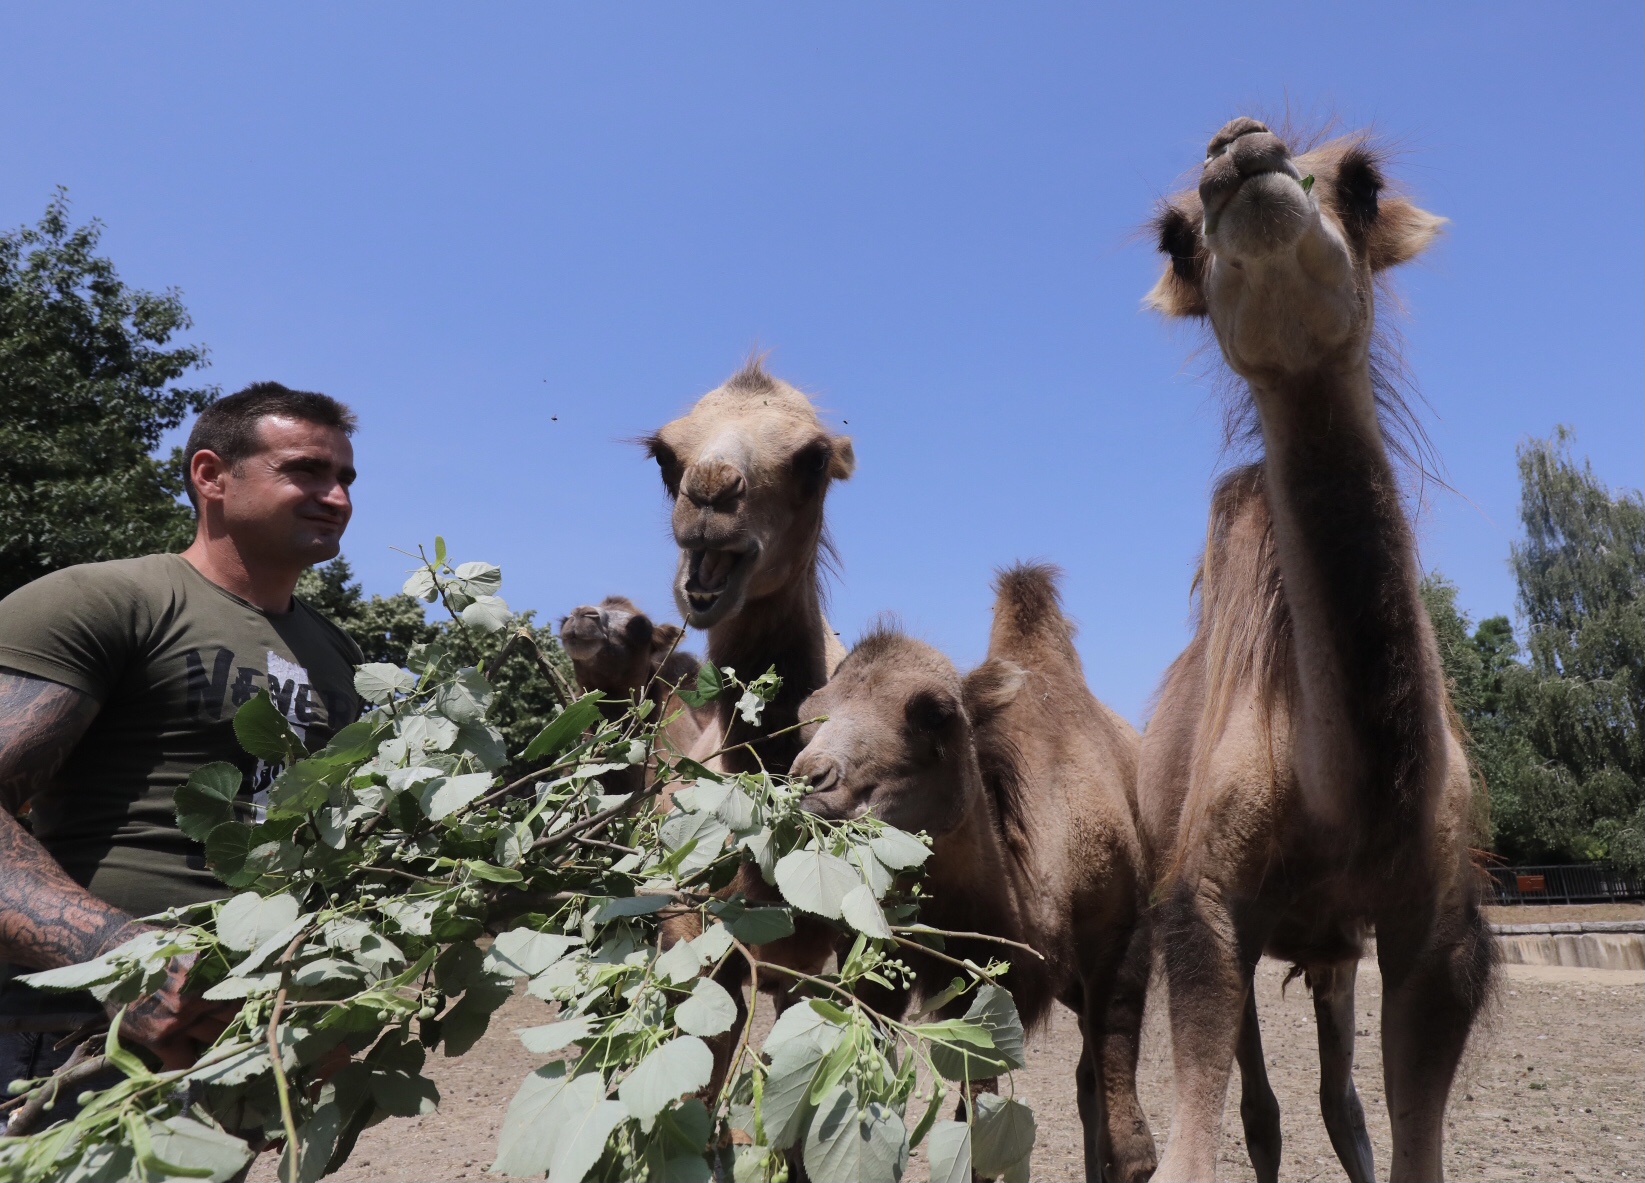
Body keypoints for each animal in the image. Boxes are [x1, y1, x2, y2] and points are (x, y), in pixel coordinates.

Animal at [1138, 113, 1500, 1183]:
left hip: (1334, 942)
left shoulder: (1435, 930)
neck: (1352, 796)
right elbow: (1204, 1138)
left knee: (1340, 1101)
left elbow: (1405, 1136)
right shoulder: (1206, 905)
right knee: (1263, 1106)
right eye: (1173, 241)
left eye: (1366, 182)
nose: (1240, 150)